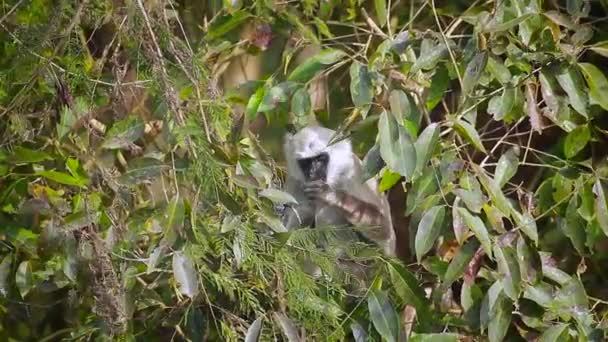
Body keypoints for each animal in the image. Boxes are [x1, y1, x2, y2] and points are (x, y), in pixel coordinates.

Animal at [280, 124, 394, 258]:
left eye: (320, 159)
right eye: (306, 162)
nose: (312, 173)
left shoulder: (353, 172)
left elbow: (385, 230)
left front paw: (330, 195)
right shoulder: (294, 180)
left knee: (324, 211)